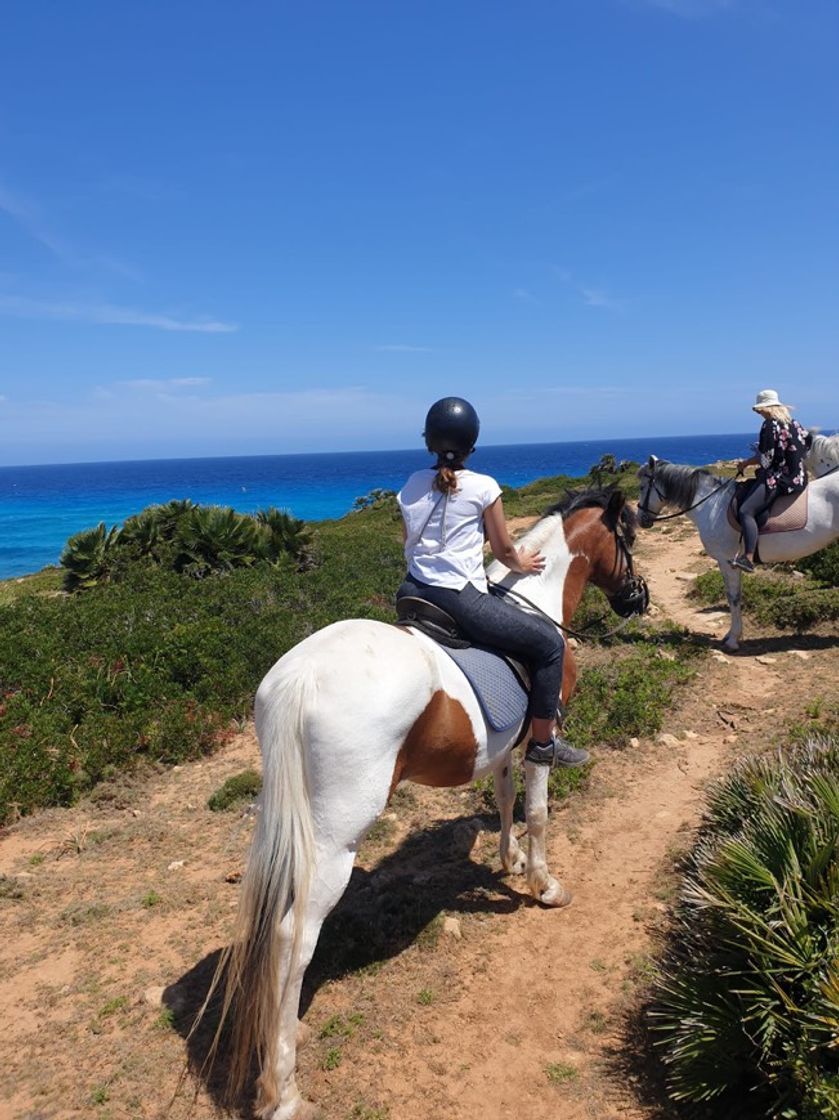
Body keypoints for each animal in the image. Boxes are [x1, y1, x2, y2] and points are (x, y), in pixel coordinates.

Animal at [213, 490, 640, 1120]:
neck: (533, 603)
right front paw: (544, 884)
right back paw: (282, 1089)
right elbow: (538, 812)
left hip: (289, 828)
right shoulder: (540, 739)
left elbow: (506, 800)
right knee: (294, 937)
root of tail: (300, 679)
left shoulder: (504, 747)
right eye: (629, 534)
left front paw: (510, 861)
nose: (640, 599)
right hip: (333, 840)